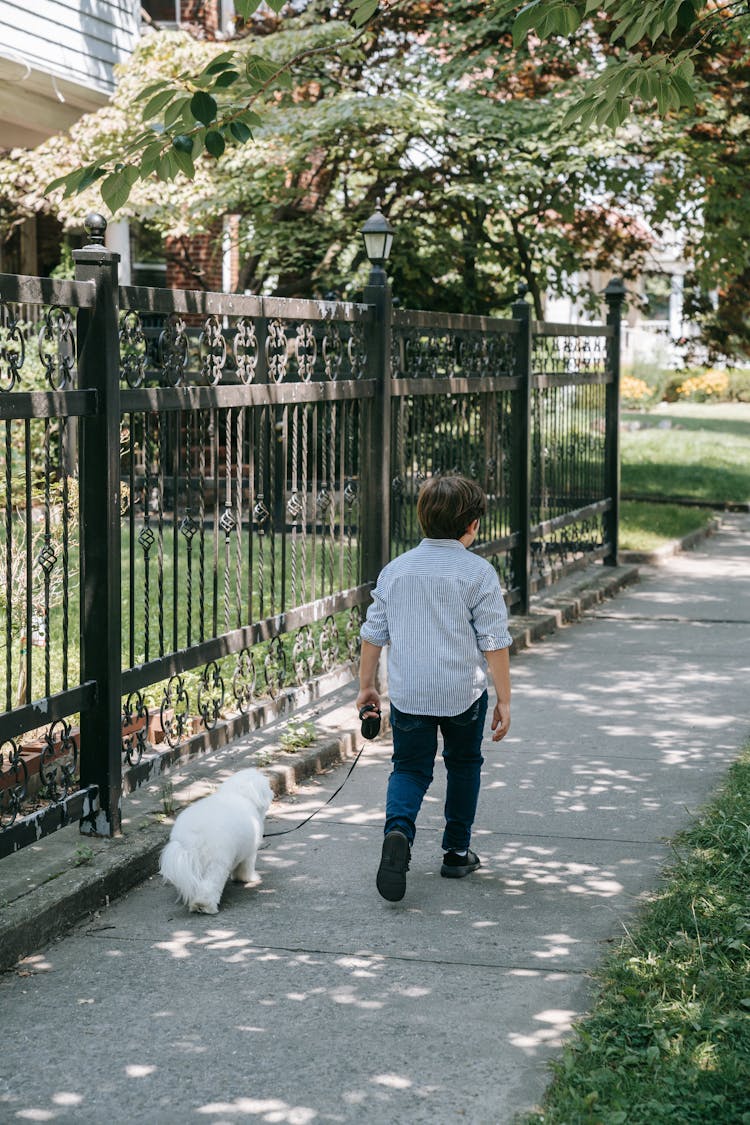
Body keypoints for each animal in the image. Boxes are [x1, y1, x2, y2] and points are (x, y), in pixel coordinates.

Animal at [159, 765, 274, 913]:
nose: (272, 792)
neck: (240, 794)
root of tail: (193, 835)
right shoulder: (250, 852)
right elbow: (246, 868)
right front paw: (248, 878)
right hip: (216, 861)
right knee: (210, 885)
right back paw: (204, 905)